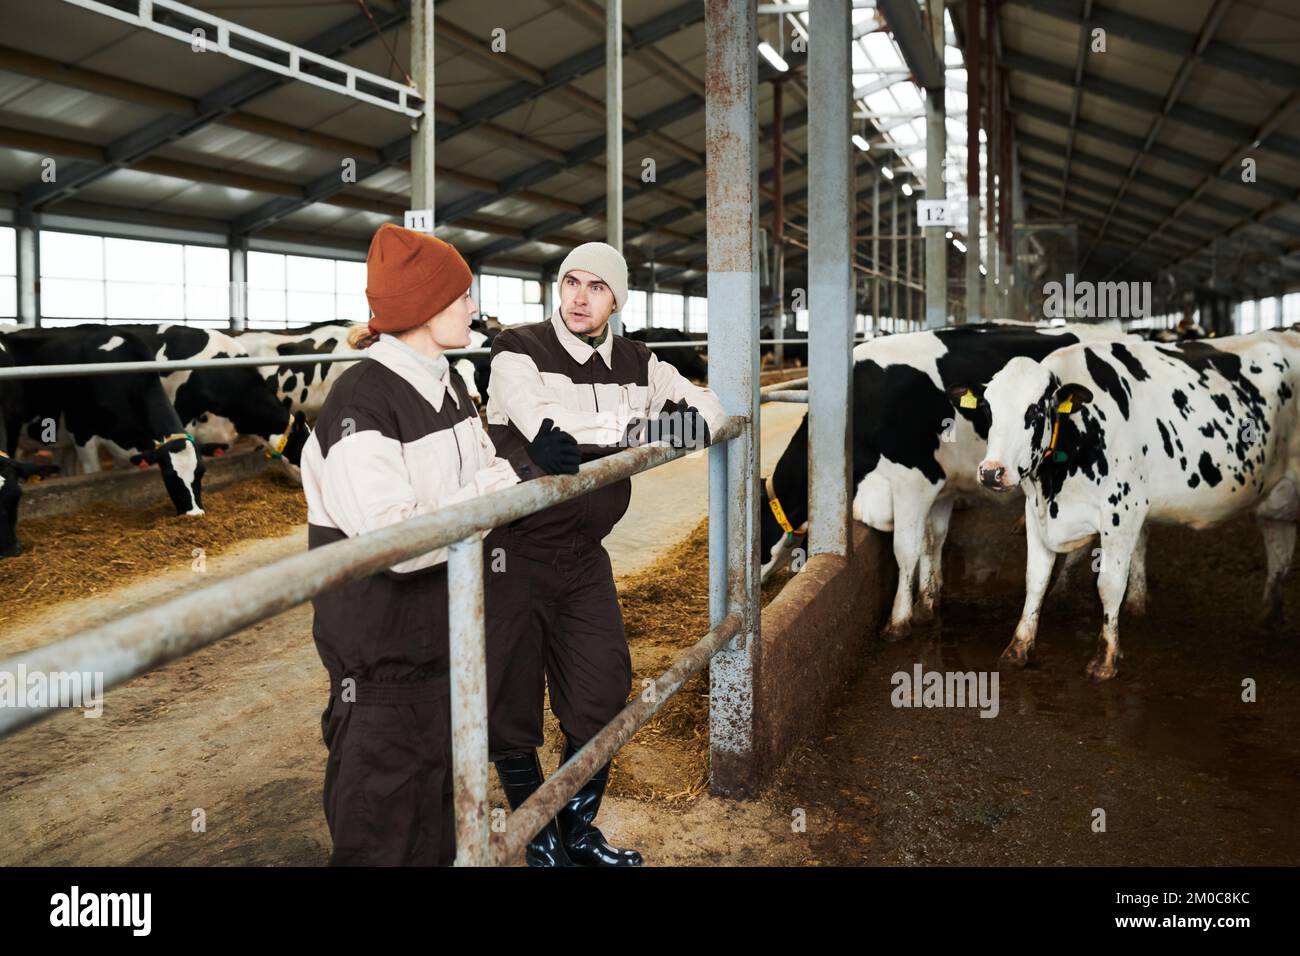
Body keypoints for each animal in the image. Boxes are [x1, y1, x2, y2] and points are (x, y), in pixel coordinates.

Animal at [759, 321, 1128, 642]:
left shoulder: (914, 480)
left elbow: (905, 549)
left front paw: (898, 621)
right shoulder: (936, 488)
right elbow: (932, 540)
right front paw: (929, 600)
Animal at [977, 332, 1294, 676]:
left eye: (1034, 410)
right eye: (987, 409)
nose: (991, 471)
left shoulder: (1122, 512)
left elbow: (1110, 584)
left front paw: (1106, 659)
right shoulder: (1035, 511)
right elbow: (1035, 580)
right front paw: (1018, 649)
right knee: (1279, 550)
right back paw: (1266, 619)